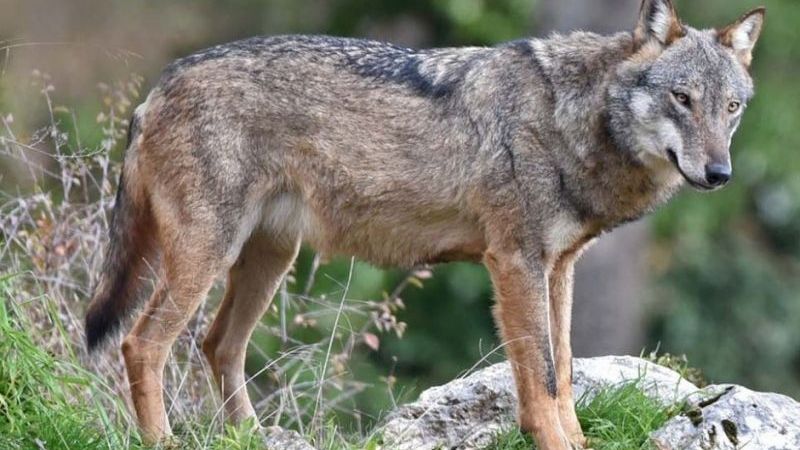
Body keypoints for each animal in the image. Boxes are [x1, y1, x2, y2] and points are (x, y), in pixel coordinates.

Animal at [84, 0, 764, 448]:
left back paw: (252, 436)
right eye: (682, 99)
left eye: (731, 108)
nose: (720, 173)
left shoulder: (560, 267)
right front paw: (554, 442)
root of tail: (157, 88)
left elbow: (565, 371)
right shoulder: (515, 263)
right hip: (208, 257)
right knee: (142, 344)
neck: (572, 118)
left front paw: (577, 442)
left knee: (217, 344)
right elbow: (542, 377)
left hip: (267, 261)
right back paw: (163, 441)